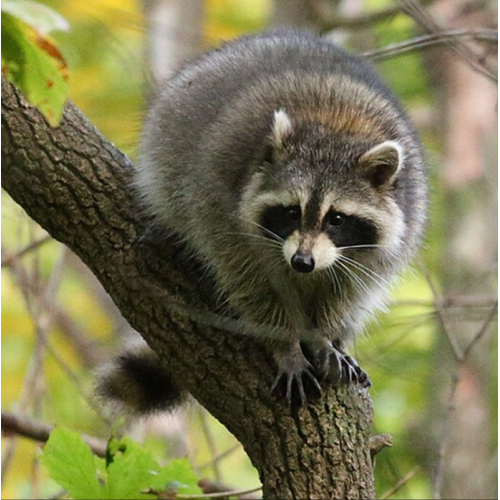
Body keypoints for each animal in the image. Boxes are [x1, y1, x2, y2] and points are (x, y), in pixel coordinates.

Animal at [100, 29, 426, 408]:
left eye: (337, 219)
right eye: (291, 211)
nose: (302, 262)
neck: (336, 126)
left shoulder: (390, 235)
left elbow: (347, 293)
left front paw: (324, 337)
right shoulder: (219, 210)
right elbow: (251, 285)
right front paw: (287, 345)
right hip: (168, 142)